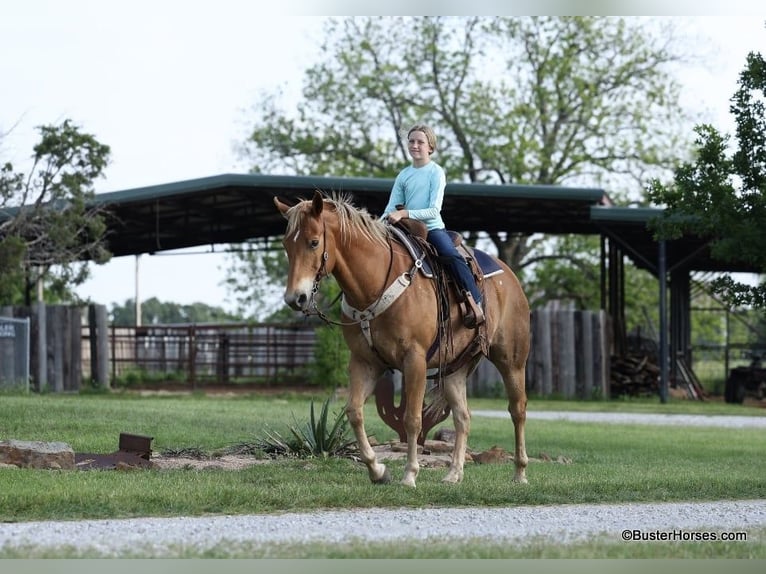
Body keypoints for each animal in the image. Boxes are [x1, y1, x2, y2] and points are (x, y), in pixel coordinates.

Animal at [276, 191, 536, 488]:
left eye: (314, 242)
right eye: (286, 244)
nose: (295, 298)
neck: (375, 282)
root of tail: (511, 278)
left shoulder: (415, 360)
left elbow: (412, 419)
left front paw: (410, 474)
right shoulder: (364, 362)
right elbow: (354, 411)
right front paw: (378, 470)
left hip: (511, 361)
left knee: (517, 410)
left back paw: (520, 473)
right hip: (455, 370)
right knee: (463, 417)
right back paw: (453, 473)